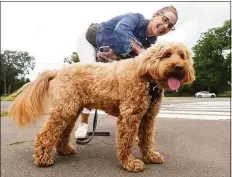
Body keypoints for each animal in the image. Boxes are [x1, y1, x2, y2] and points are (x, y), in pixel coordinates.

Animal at [8, 41, 195, 171]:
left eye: (182, 56)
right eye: (167, 54)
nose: (179, 67)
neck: (147, 79)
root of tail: (58, 71)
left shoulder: (148, 117)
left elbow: (147, 140)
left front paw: (150, 156)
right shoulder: (129, 115)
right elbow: (126, 142)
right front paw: (129, 163)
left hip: (72, 109)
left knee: (63, 132)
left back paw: (64, 150)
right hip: (65, 109)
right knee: (45, 134)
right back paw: (42, 158)